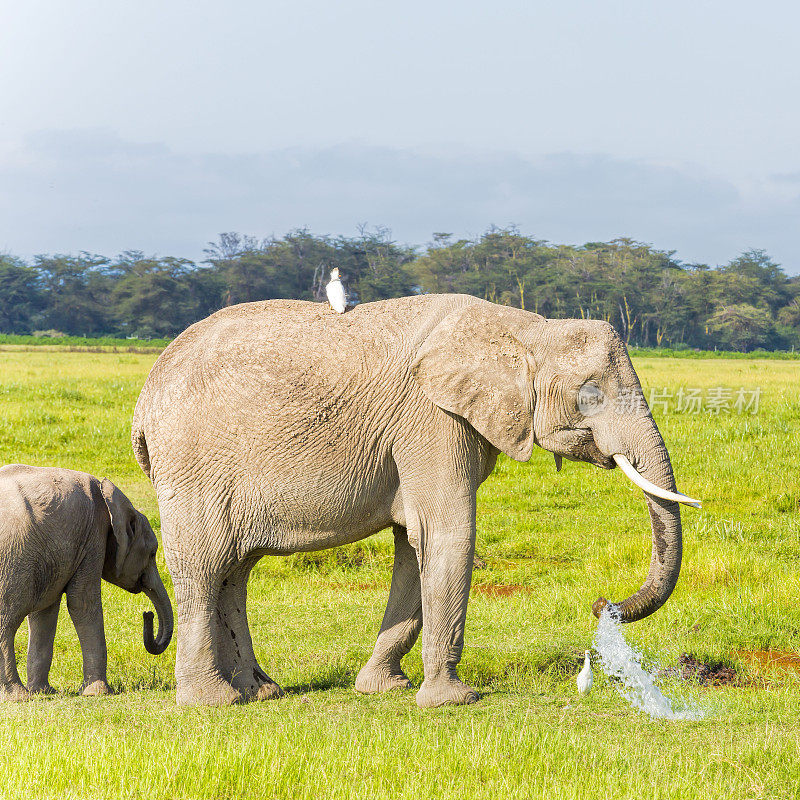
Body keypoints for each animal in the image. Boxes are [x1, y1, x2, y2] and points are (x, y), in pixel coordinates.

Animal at [0, 462, 173, 700]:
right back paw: (18, 696)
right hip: (11, 560)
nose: (147, 614)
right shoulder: (93, 536)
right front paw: (98, 693)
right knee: (6, 623)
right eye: (153, 553)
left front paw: (45, 692)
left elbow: (45, 612)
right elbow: (82, 603)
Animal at [131, 294, 700, 708]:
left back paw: (261, 691)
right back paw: (213, 703)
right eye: (591, 394)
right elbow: (448, 532)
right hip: (192, 464)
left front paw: (385, 689)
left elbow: (412, 543)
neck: (523, 327)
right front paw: (454, 701)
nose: (603, 604)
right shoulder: (430, 418)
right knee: (205, 567)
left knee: (235, 572)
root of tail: (144, 398)